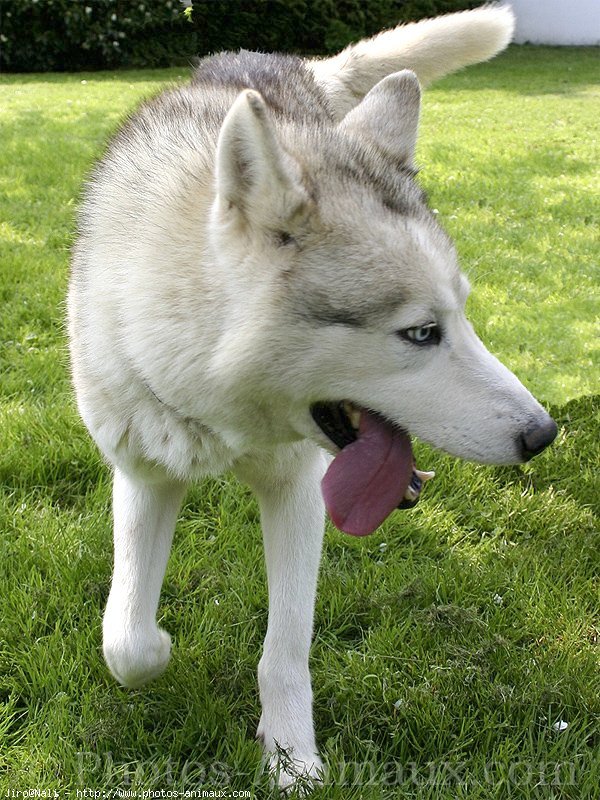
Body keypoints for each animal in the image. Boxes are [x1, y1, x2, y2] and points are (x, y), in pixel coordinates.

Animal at [69, 3, 556, 792]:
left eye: (462, 314)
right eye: (421, 333)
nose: (543, 434)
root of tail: (280, 62)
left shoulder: (300, 489)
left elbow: (285, 649)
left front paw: (292, 758)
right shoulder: (144, 469)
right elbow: (127, 640)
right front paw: (162, 649)